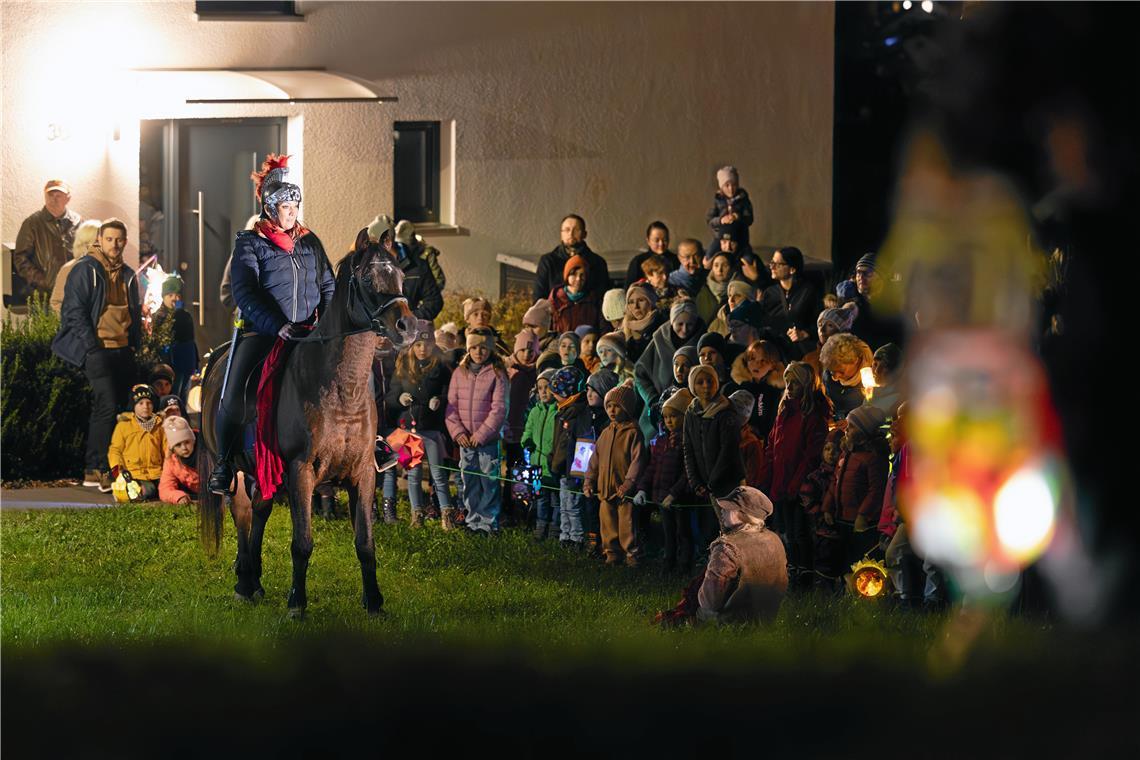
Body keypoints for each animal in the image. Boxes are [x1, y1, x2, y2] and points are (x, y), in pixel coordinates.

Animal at [198, 242, 417, 619]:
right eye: (367, 278)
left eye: (401, 275)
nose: (408, 326)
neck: (342, 389)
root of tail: (217, 356)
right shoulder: (301, 472)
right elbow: (302, 542)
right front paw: (296, 603)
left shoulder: (363, 472)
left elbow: (365, 542)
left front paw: (374, 602)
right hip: (234, 468)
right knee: (243, 513)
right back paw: (243, 582)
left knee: (260, 509)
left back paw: (254, 580)